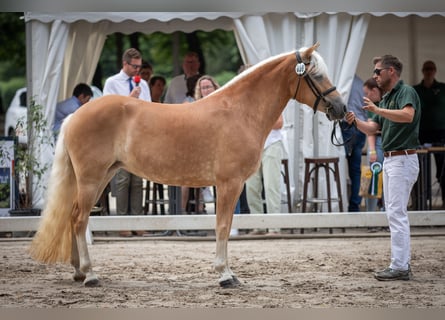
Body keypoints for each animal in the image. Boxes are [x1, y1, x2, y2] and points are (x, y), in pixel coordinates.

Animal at [29, 43, 346, 288]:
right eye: (316, 74)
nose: (341, 109)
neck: (239, 111)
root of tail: (76, 115)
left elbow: (225, 225)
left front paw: (227, 273)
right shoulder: (229, 183)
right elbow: (222, 226)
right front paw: (225, 275)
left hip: (101, 177)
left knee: (74, 217)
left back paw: (78, 272)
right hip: (91, 179)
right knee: (79, 219)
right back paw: (90, 275)